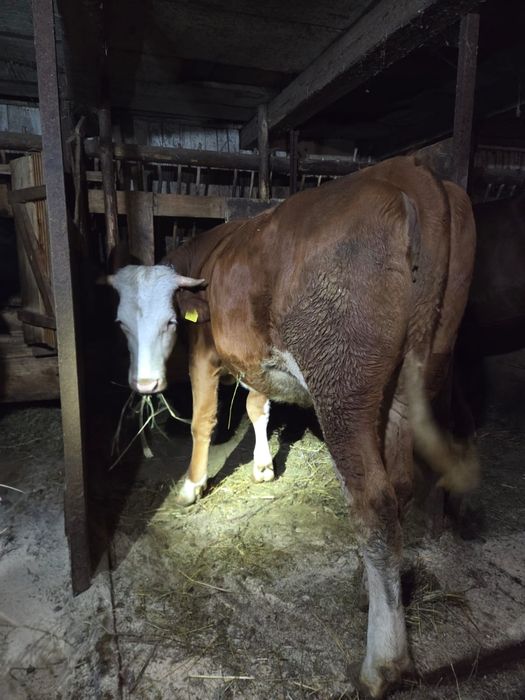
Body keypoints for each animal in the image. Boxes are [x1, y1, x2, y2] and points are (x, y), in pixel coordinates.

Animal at [107, 156, 478, 698]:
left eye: (171, 323)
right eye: (121, 325)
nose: (145, 384)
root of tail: (410, 172)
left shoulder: (205, 354)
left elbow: (204, 420)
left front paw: (193, 485)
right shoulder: (257, 360)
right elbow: (258, 407)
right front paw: (263, 467)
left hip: (343, 383)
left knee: (373, 504)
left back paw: (383, 664)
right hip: (415, 375)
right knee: (401, 486)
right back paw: (366, 589)